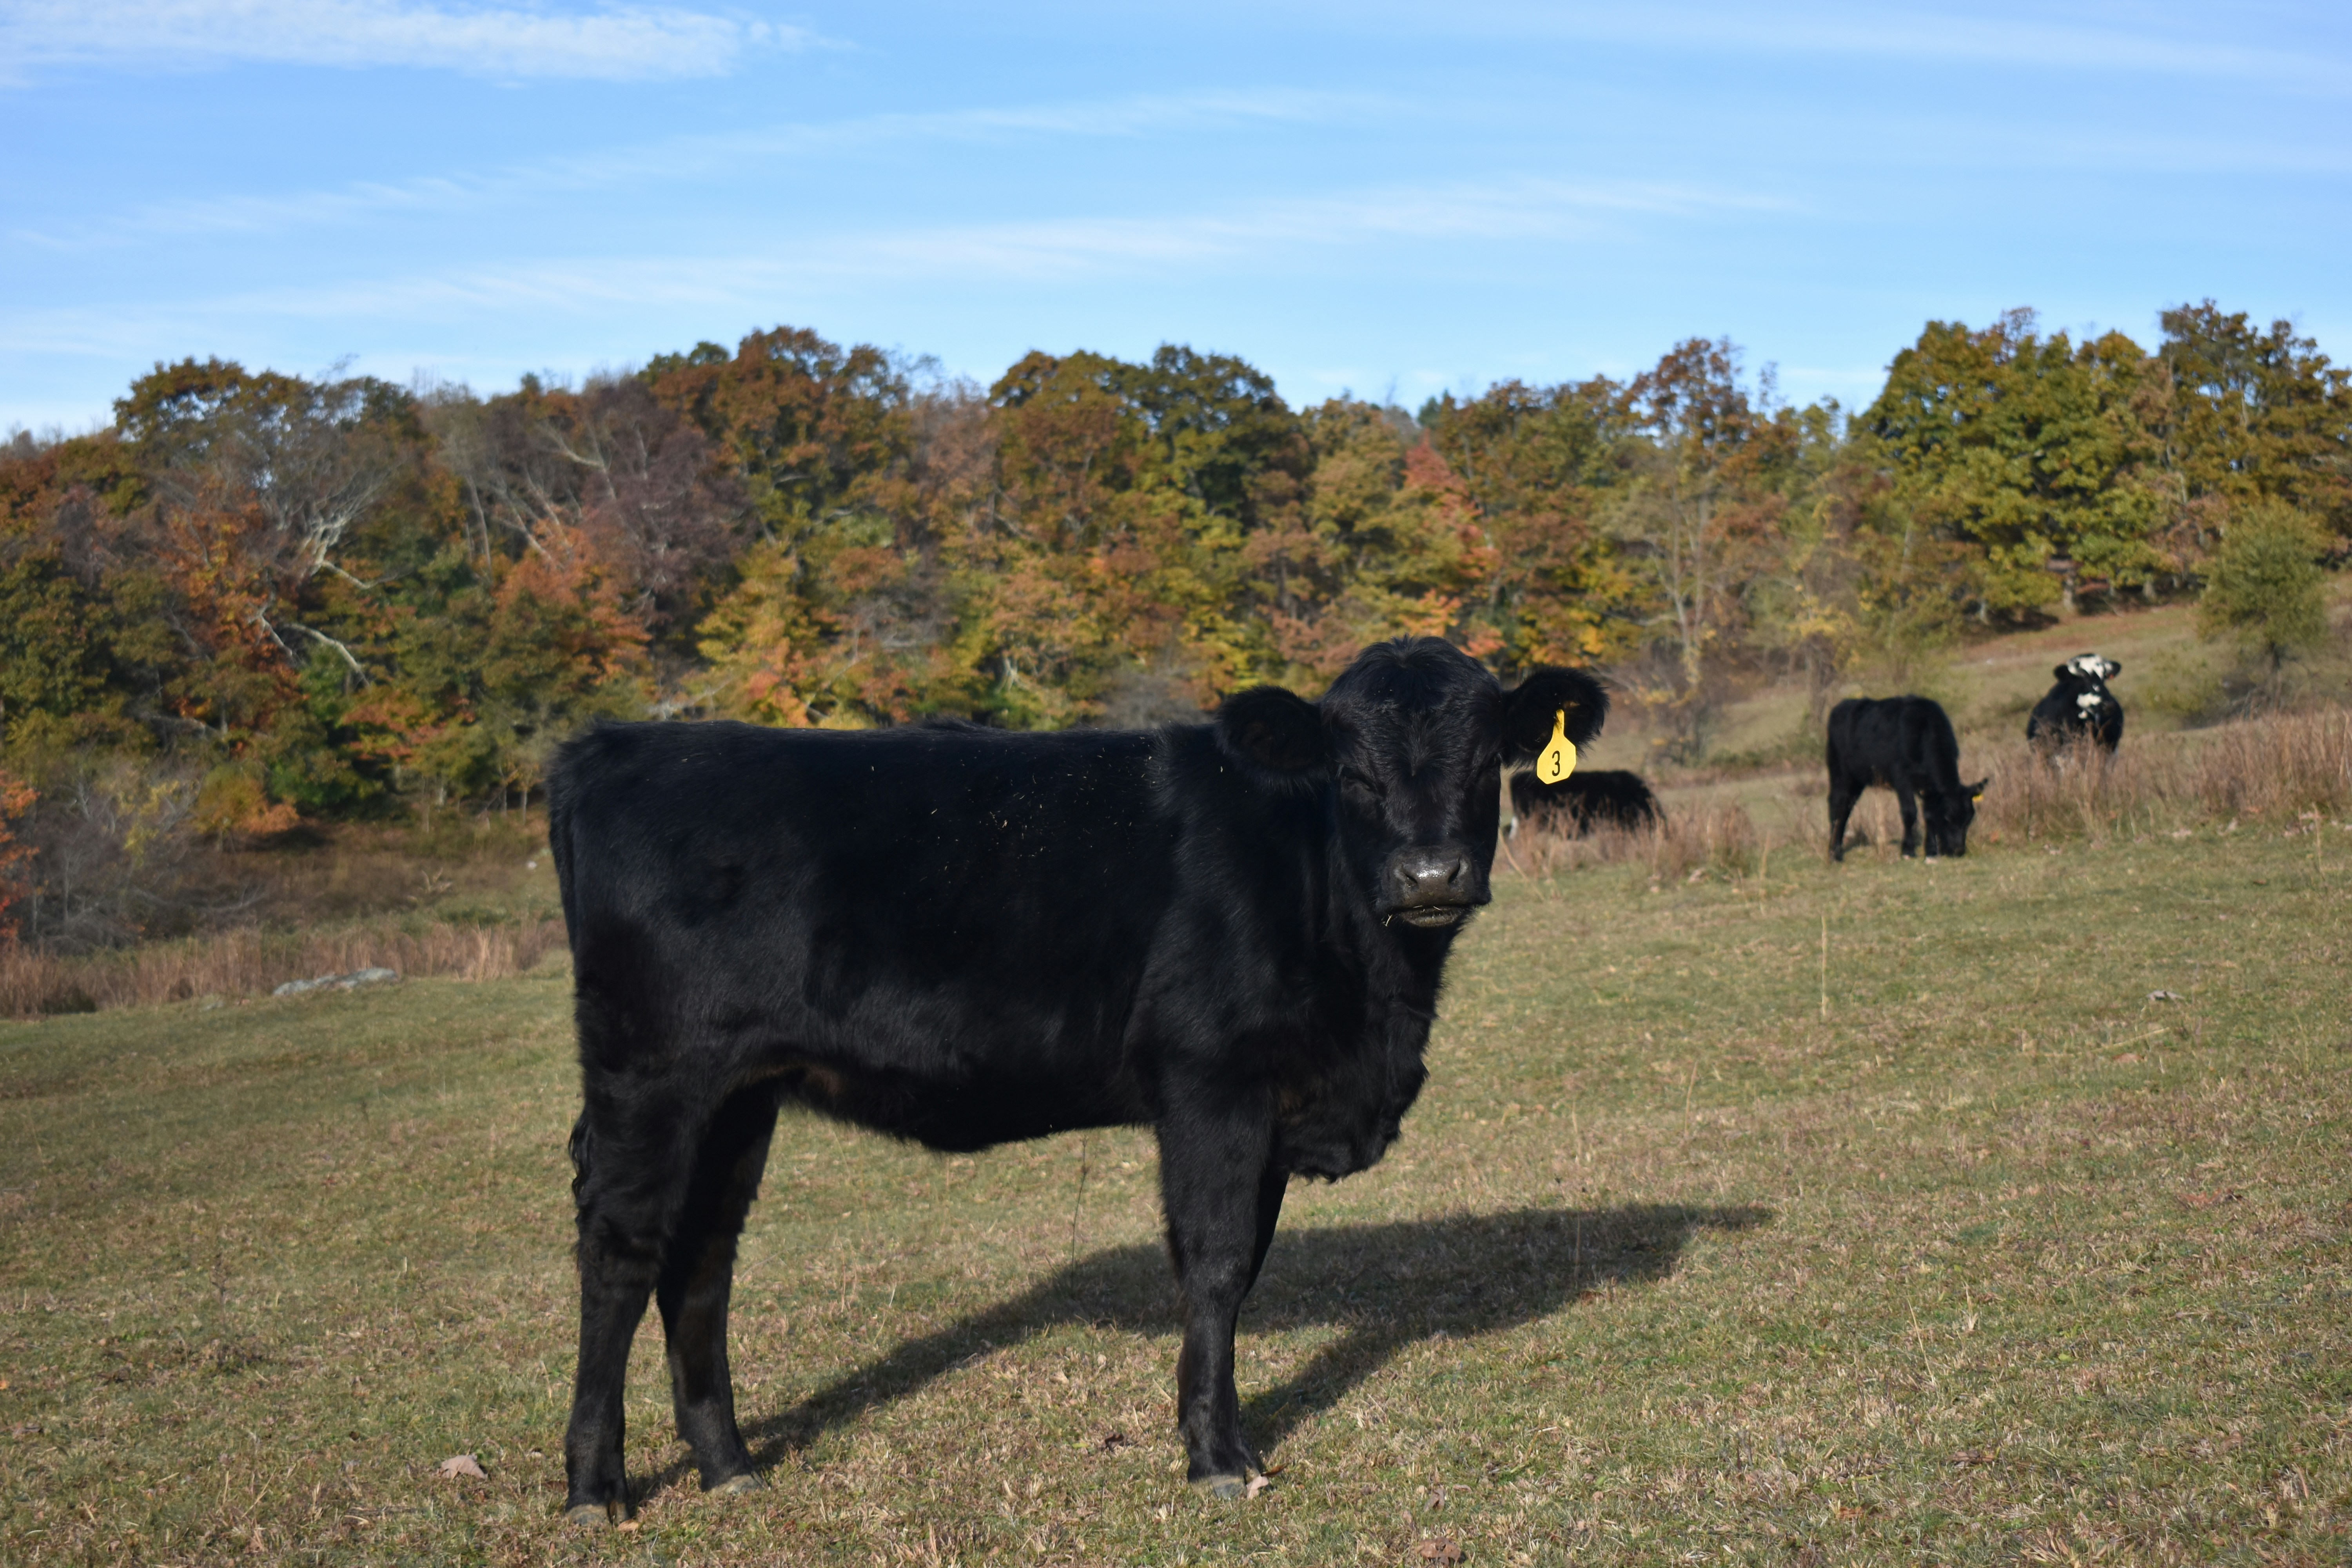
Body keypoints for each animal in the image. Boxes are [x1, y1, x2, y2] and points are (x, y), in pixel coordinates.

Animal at [544, 638, 1609, 1523]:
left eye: (1485, 759)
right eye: (1351, 770)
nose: (1431, 875)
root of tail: (612, 746)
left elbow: (1247, 1268)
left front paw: (1227, 1438)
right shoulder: (1210, 1081)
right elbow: (1216, 1262)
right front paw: (1216, 1458)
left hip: (740, 1093)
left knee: (703, 1256)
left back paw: (729, 1464)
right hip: (651, 1069)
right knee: (622, 1251)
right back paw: (596, 1487)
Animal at [1825, 696, 1987, 861]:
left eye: (1969, 819)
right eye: (1948, 818)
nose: (1958, 851)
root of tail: (1843, 705)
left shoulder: (1929, 789)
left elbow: (1929, 815)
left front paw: (1931, 850)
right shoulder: (1902, 779)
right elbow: (1910, 812)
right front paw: (1908, 851)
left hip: (1857, 779)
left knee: (1847, 808)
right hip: (1840, 772)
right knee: (1837, 805)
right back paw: (1834, 852)